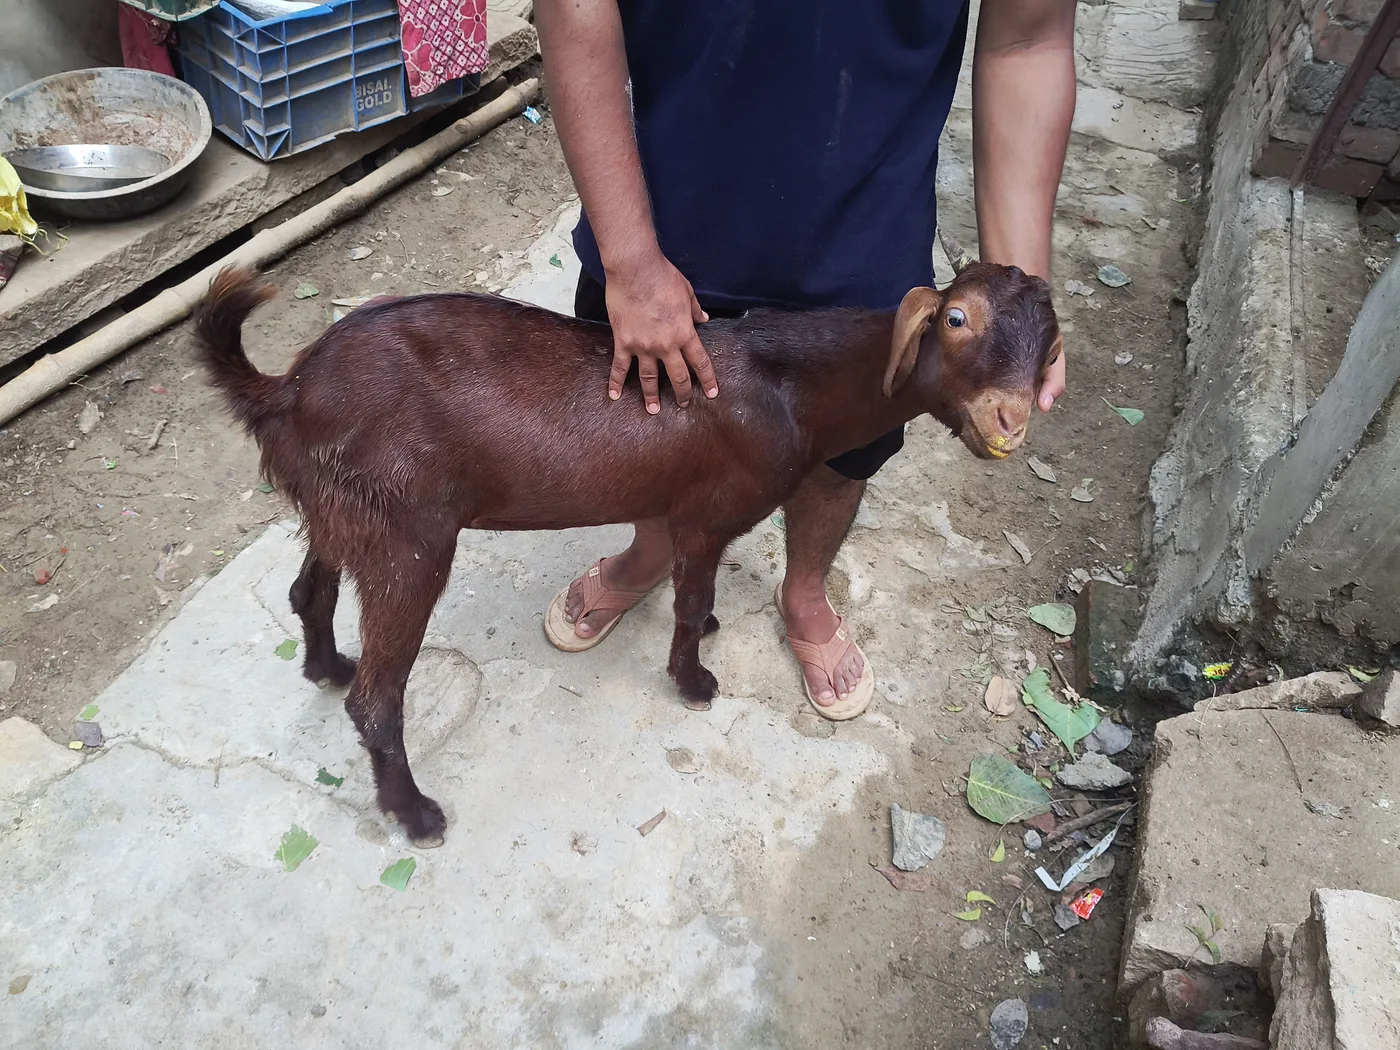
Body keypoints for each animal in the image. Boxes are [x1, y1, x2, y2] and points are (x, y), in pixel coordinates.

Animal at [194, 256, 1061, 845]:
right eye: (956, 320)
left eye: (1052, 343)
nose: (1008, 422)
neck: (790, 384)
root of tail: (287, 391)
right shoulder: (710, 513)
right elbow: (691, 596)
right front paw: (695, 680)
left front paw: (704, 645)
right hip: (409, 537)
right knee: (378, 699)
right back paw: (414, 811)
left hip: (344, 513)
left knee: (309, 592)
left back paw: (325, 665)